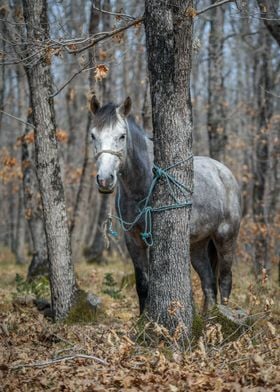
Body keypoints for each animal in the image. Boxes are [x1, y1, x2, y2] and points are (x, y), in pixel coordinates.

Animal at [90, 96, 243, 314]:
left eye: (122, 136)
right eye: (93, 135)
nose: (104, 180)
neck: (141, 186)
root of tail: (224, 172)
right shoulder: (133, 240)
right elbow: (142, 283)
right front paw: (142, 318)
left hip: (225, 238)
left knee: (225, 280)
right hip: (197, 245)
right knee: (208, 282)